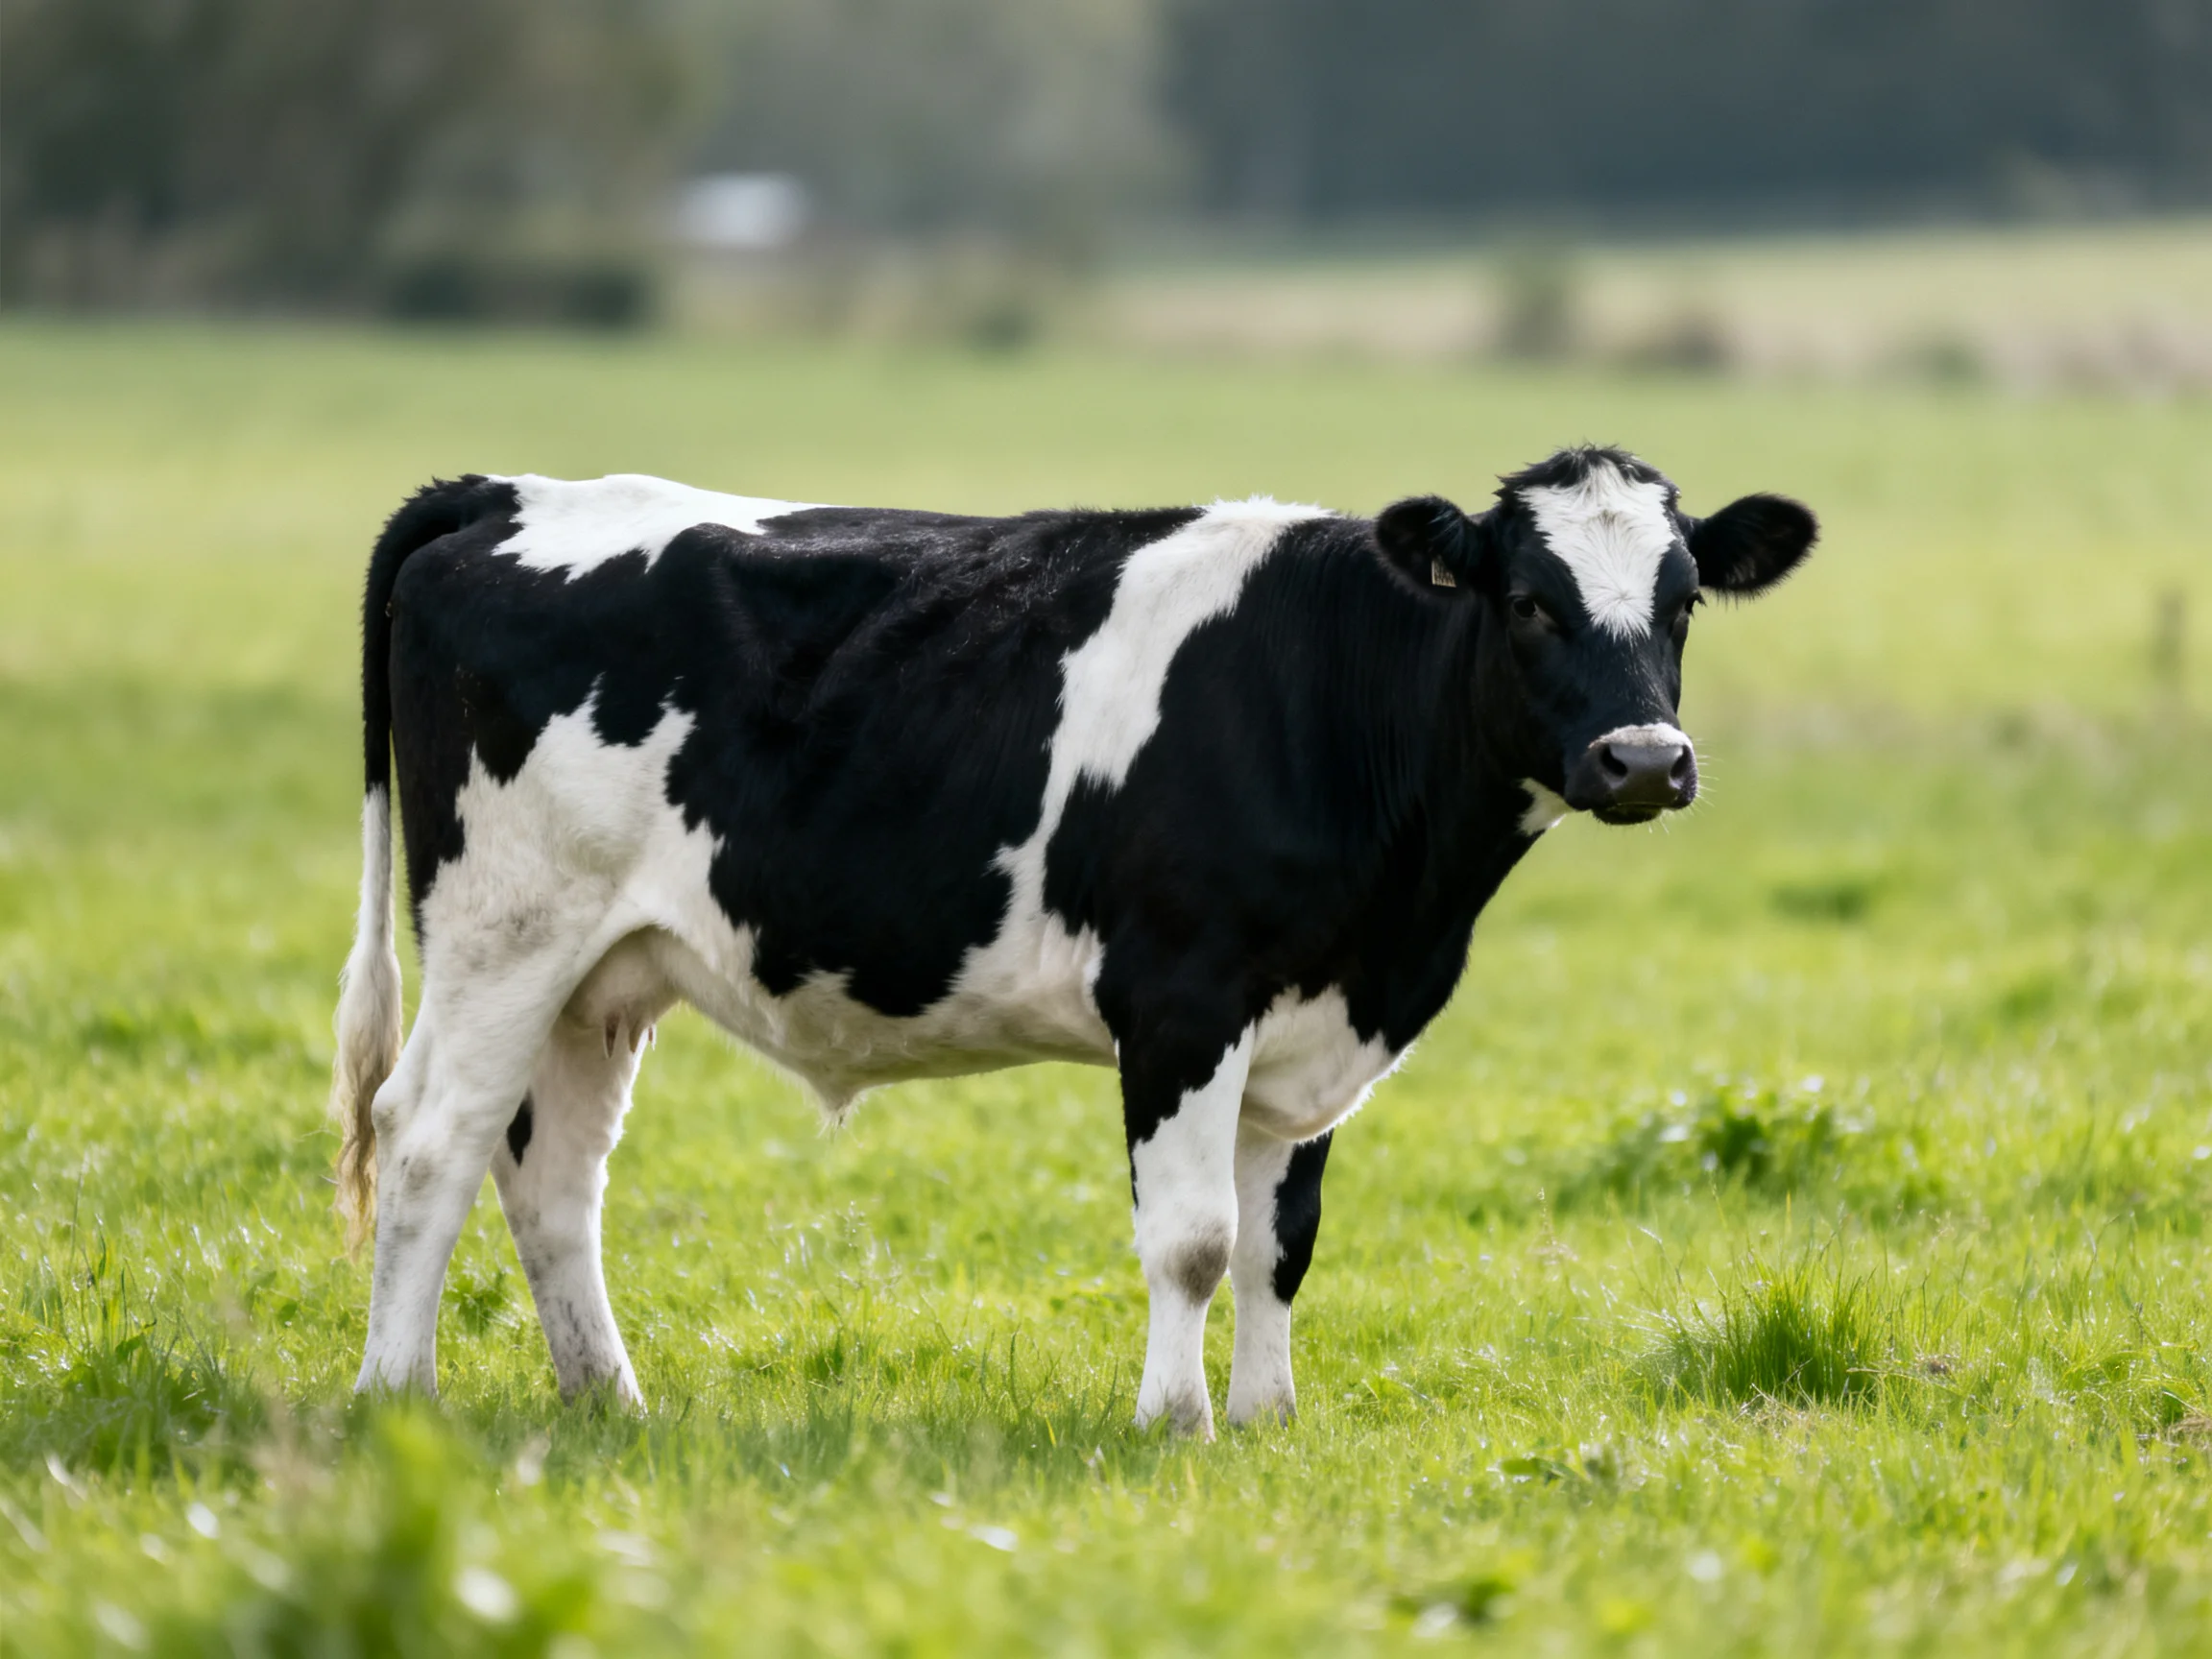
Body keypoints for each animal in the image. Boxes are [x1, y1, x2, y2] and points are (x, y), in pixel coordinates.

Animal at [329, 445, 1815, 1436]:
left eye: (1684, 600)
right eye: (1527, 601)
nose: (1643, 759)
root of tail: (504, 492)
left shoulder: (1312, 1023)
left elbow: (1281, 1239)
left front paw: (1268, 1421)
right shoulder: (1183, 1000)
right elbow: (1195, 1239)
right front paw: (1177, 1424)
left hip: (602, 973)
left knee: (551, 1176)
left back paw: (610, 1404)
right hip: (505, 930)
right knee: (429, 1140)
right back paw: (397, 1392)